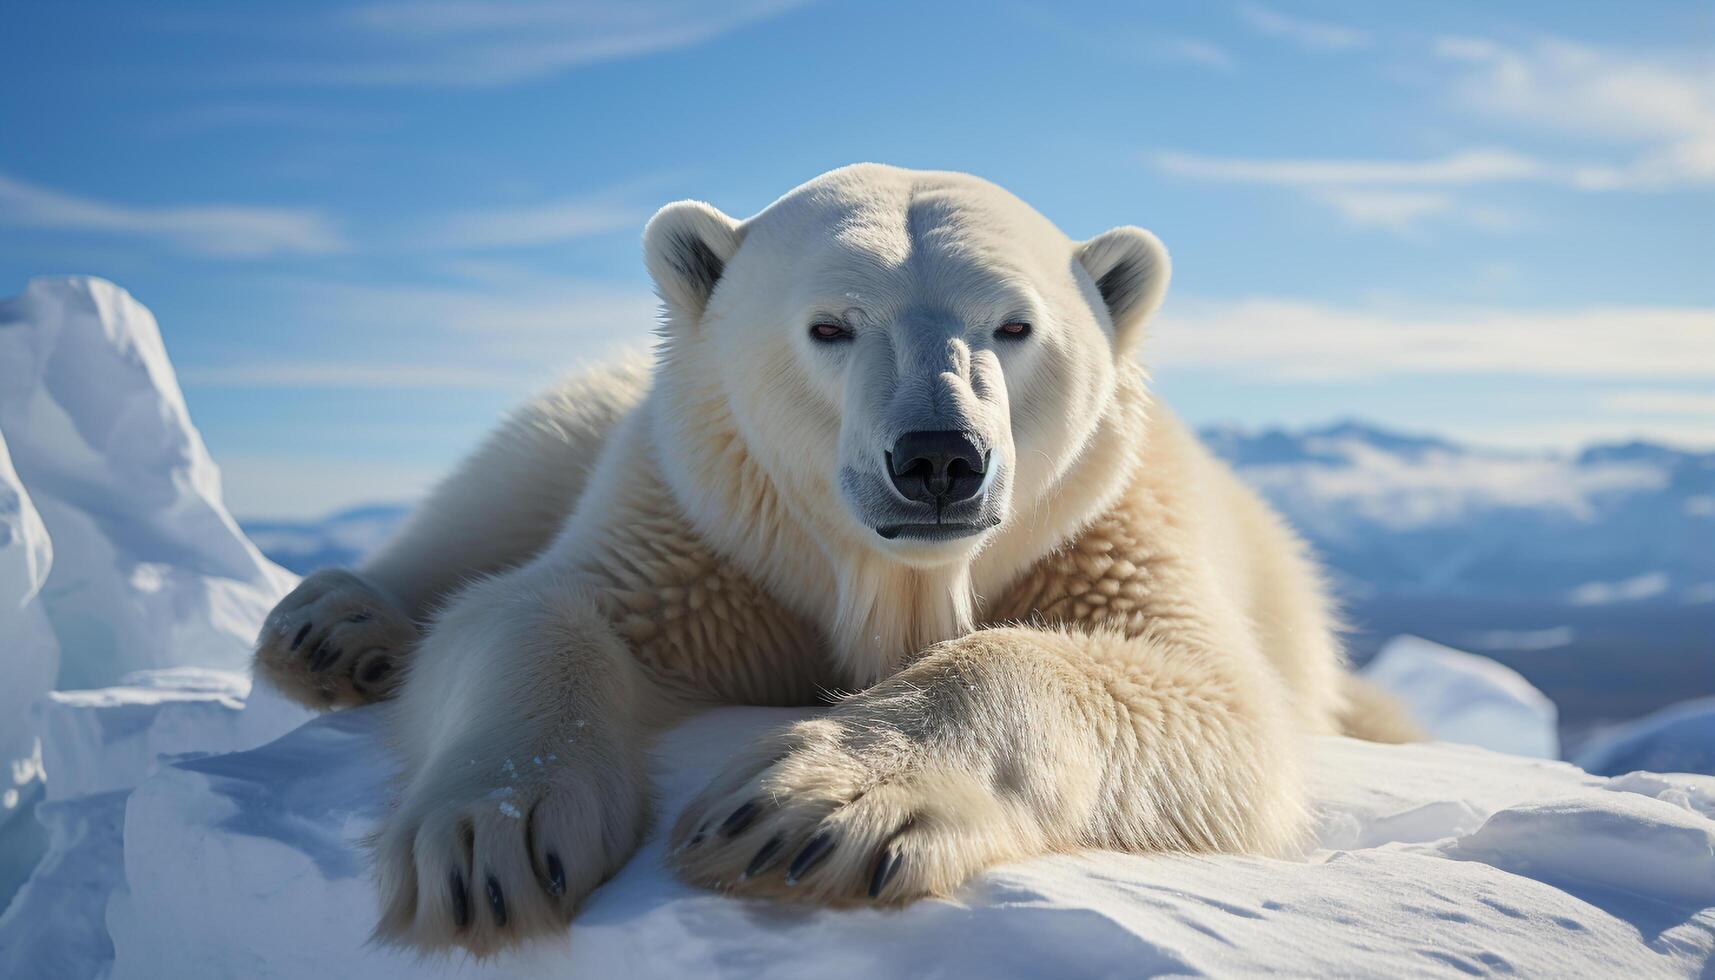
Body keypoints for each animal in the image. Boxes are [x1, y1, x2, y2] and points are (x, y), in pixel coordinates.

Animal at [250, 164, 1406, 954]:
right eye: (830, 325)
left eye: (1013, 324)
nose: (938, 456)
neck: (893, 579)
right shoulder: (708, 543)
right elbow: (540, 609)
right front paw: (492, 845)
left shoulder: (1104, 538)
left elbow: (1201, 694)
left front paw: (804, 812)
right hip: (614, 421)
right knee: (507, 478)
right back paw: (338, 625)